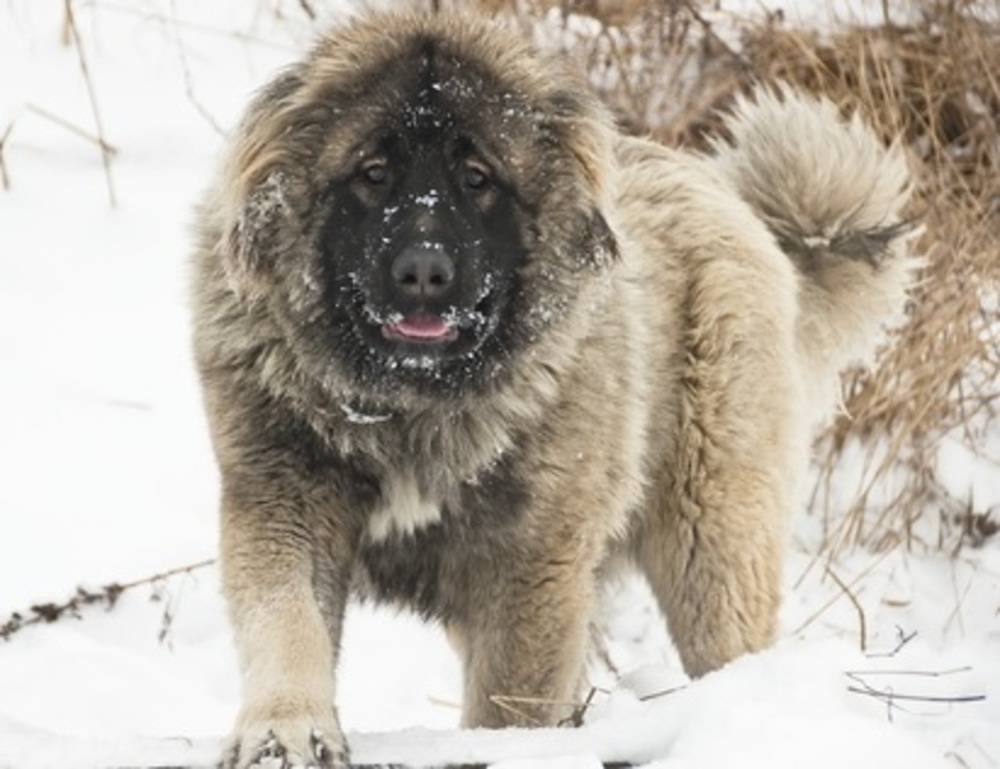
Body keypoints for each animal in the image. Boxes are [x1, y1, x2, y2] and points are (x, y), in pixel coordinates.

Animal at [191, 9, 916, 764]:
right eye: (373, 173)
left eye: (477, 178)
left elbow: (509, 695)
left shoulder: (533, 563)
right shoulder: (284, 500)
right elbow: (287, 624)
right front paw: (285, 731)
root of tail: (733, 204)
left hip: (711, 540)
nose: (423, 271)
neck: (414, 407)